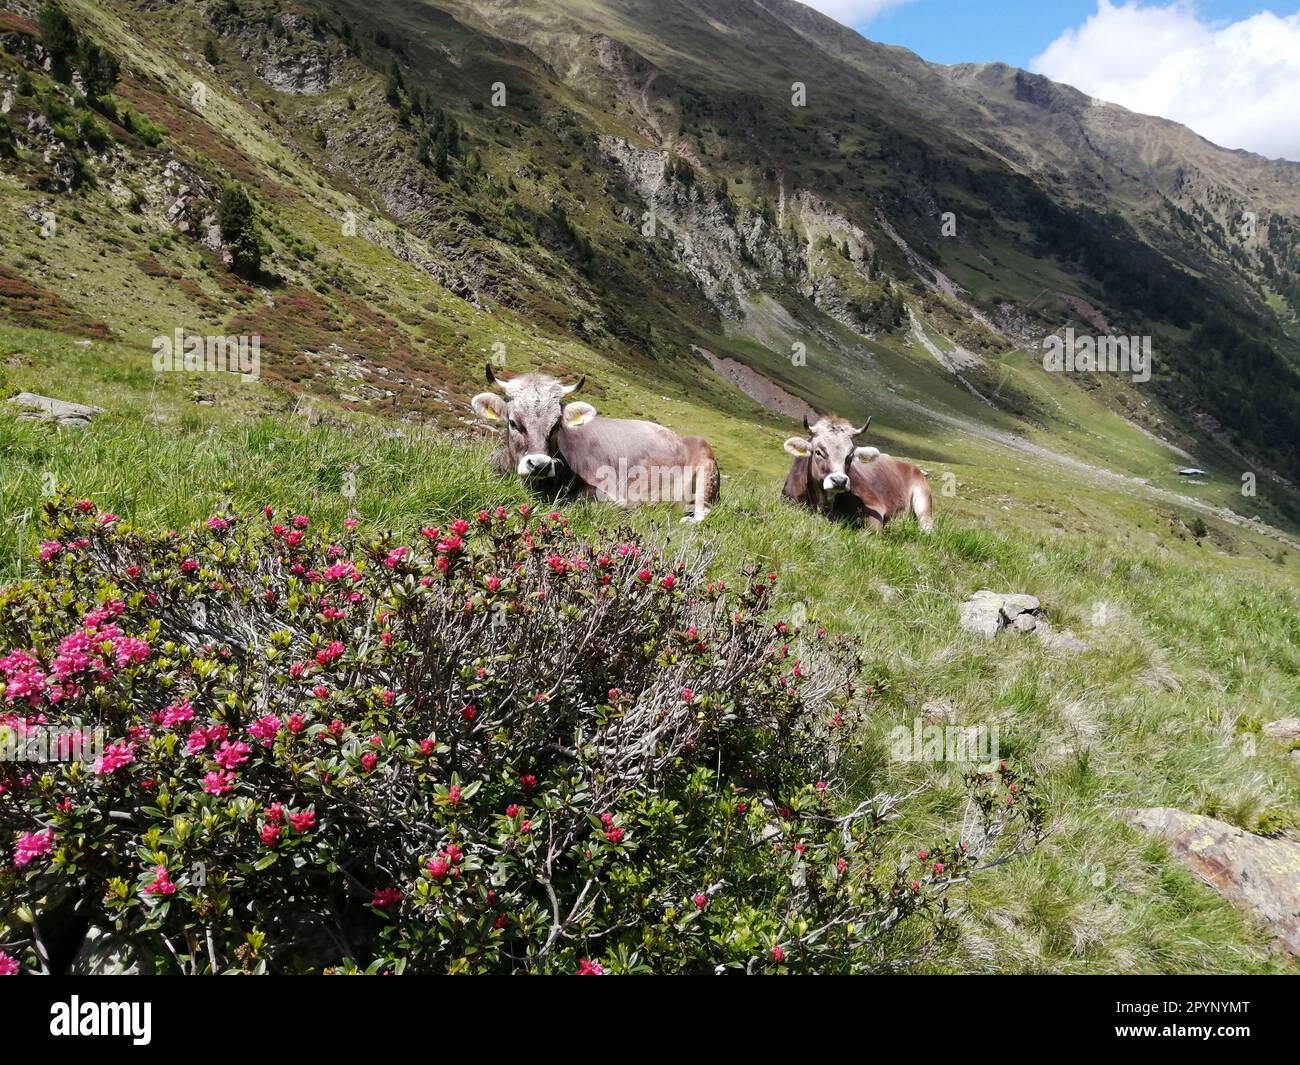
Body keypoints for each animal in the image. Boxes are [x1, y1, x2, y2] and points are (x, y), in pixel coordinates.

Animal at [780, 413, 935, 533]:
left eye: (850, 454)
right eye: (818, 452)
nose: (839, 481)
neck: (824, 506)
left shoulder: (875, 509)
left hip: (923, 499)